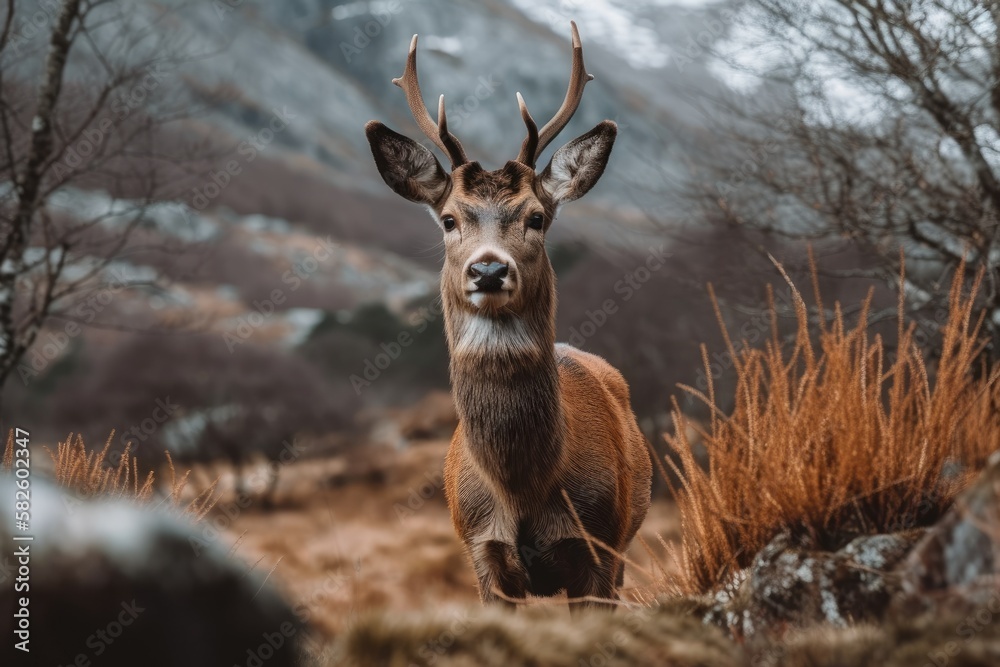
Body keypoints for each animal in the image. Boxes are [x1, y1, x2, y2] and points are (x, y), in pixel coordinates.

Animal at [364, 20, 652, 612]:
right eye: (449, 220)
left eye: (536, 217)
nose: (489, 270)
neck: (522, 491)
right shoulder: (483, 554)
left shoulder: (598, 547)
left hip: (623, 547)